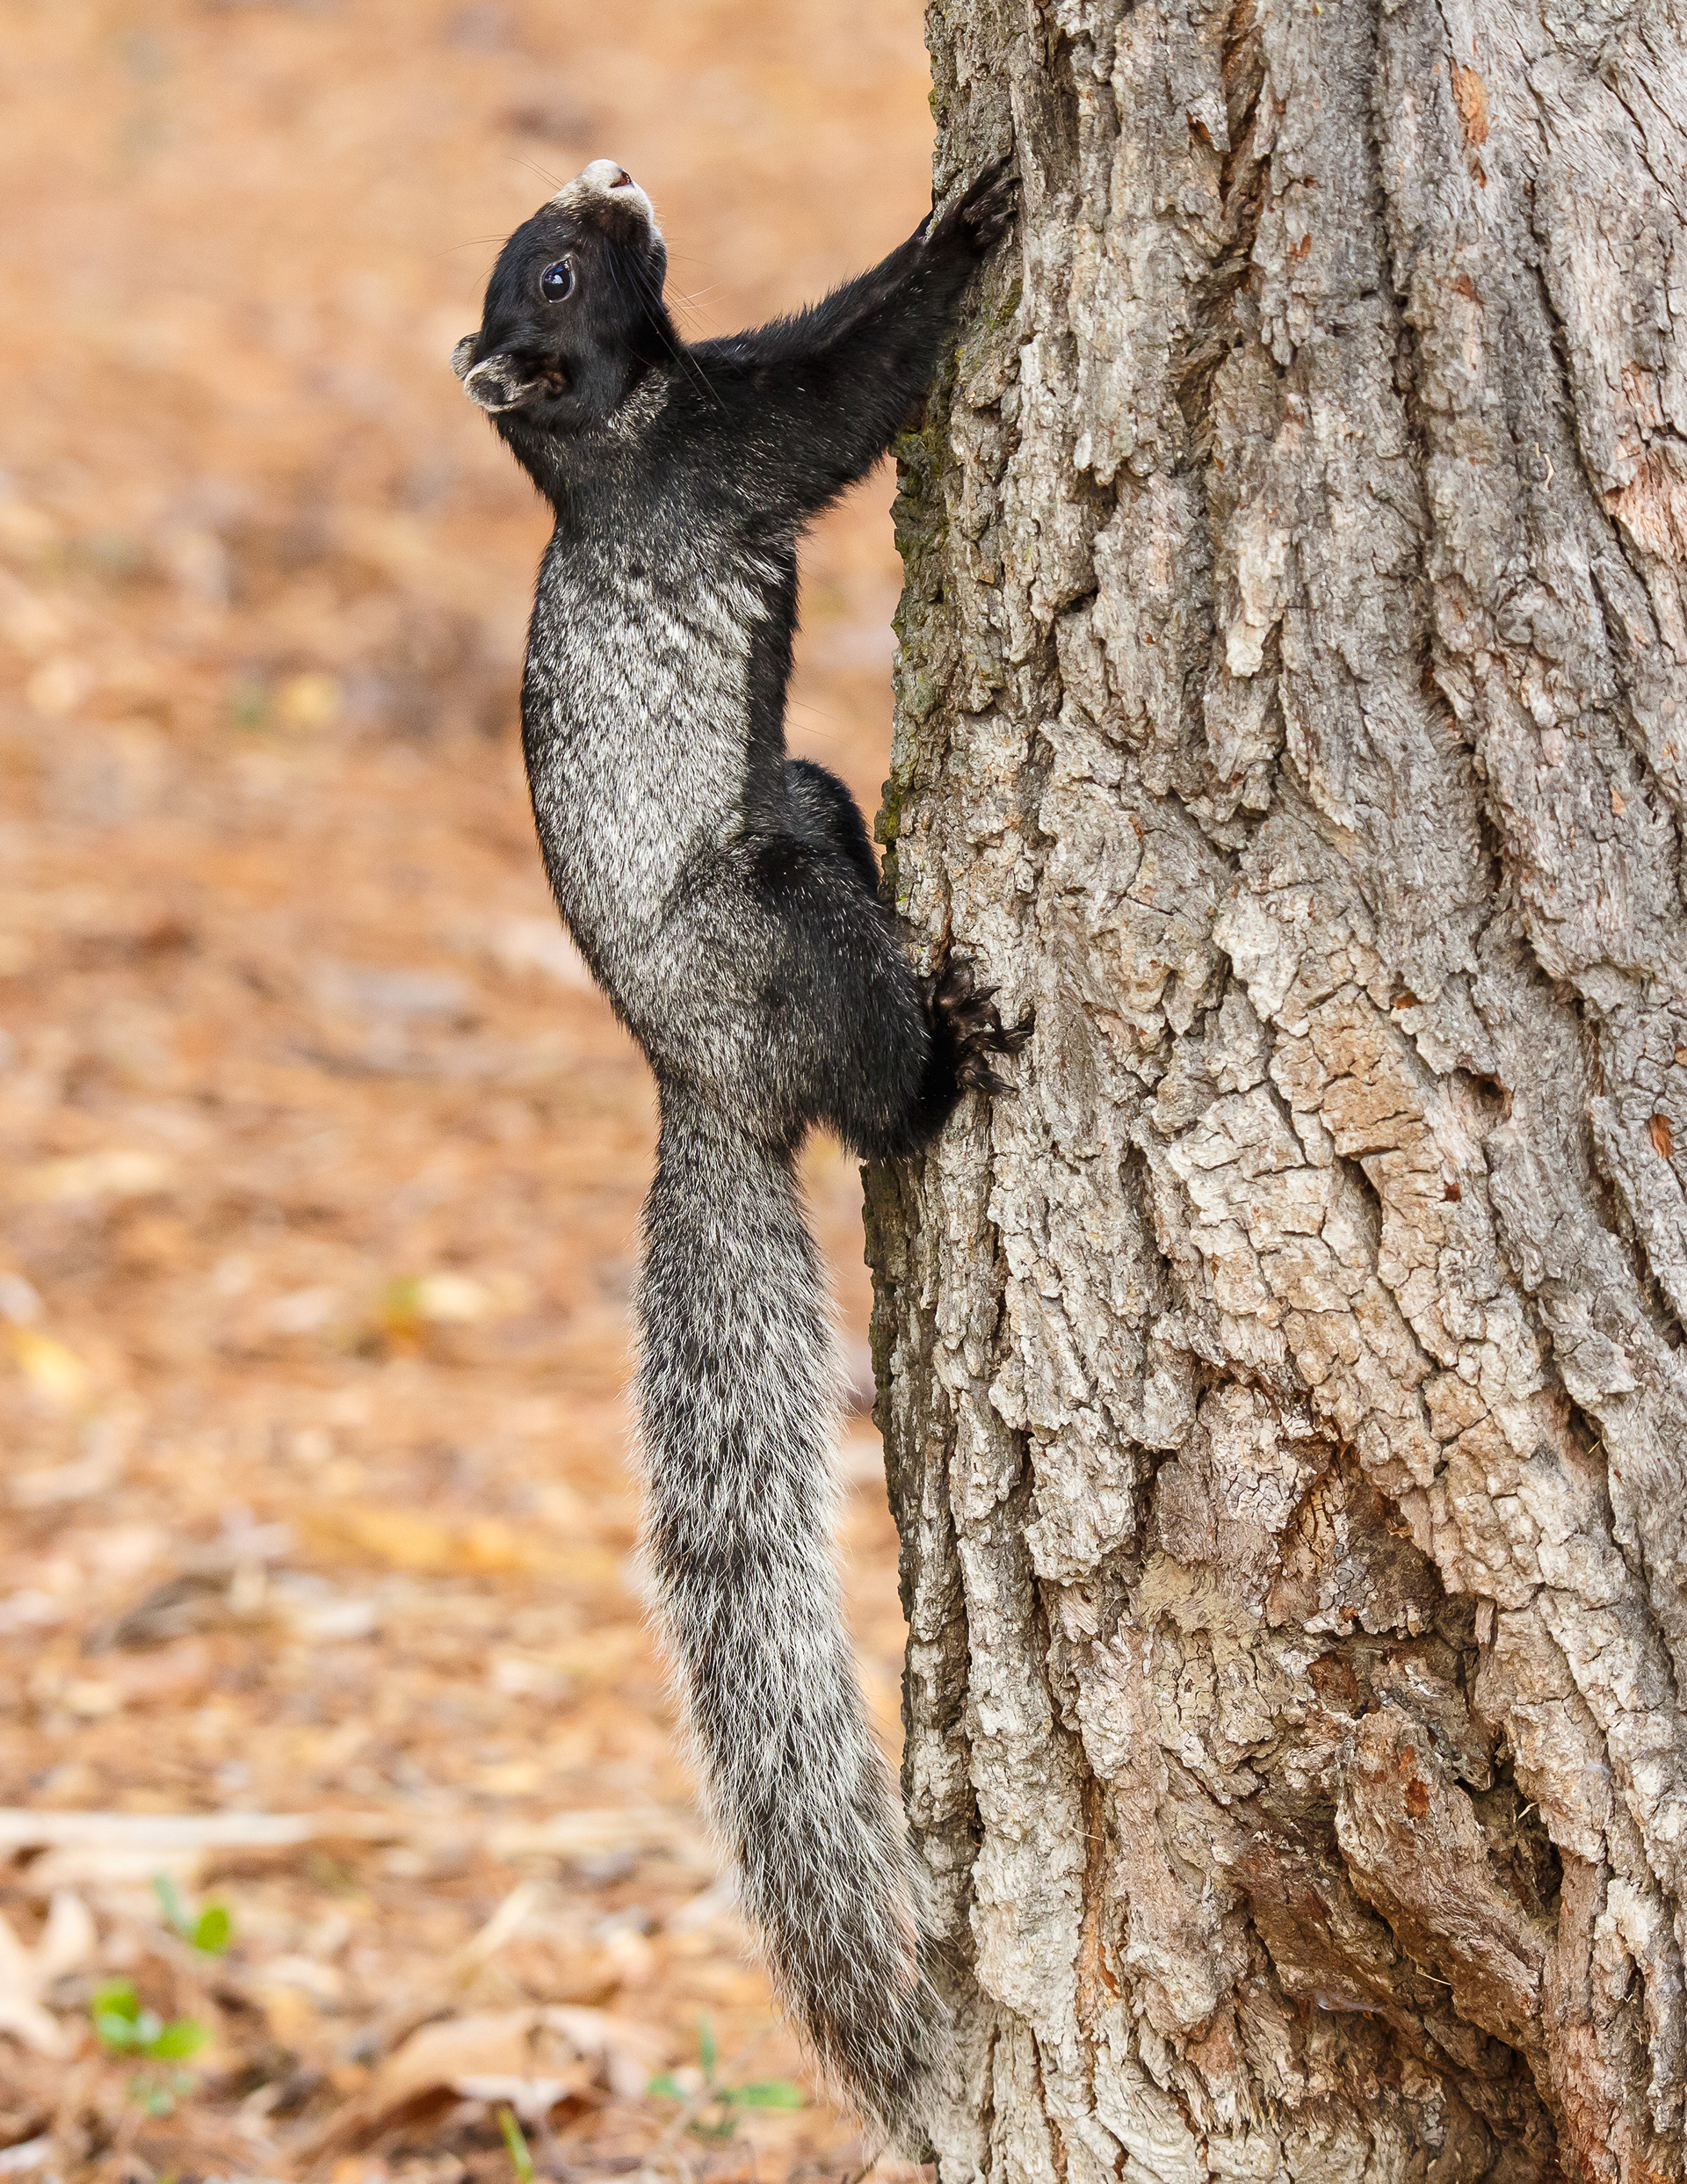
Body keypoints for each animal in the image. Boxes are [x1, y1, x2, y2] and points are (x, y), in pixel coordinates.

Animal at [452, 155, 1027, 2142]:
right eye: (553, 275)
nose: (612, 174)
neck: (617, 422)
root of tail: (701, 1082)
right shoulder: (733, 453)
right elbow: (854, 380)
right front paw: (963, 224)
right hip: (774, 905)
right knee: (865, 1082)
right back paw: (941, 1069)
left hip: (808, 800)